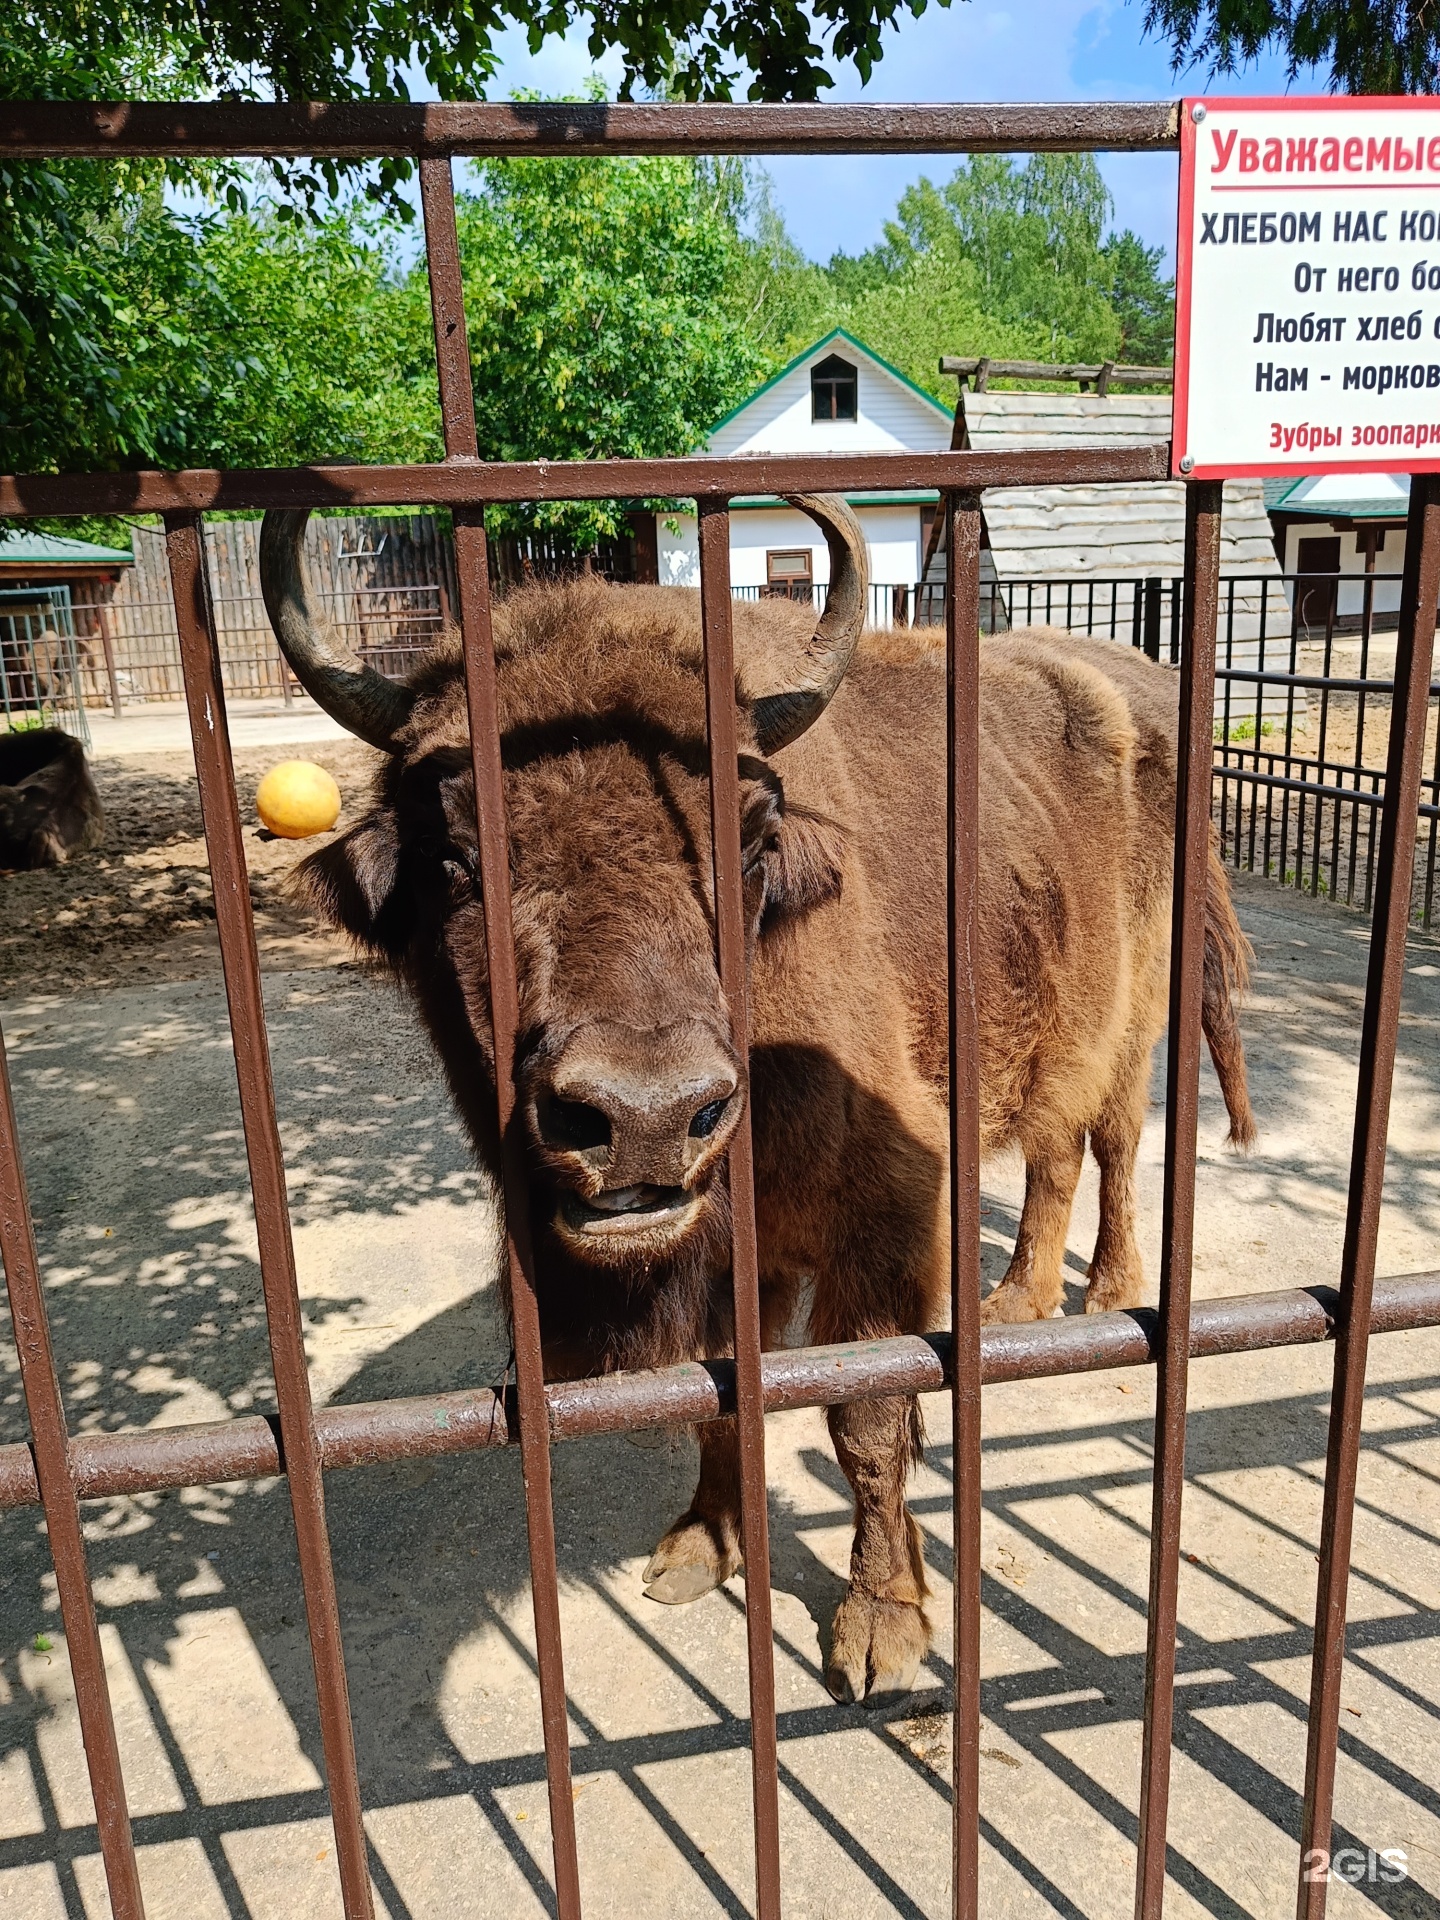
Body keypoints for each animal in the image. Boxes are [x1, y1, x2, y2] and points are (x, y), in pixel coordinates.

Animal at [264, 503, 1259, 1704]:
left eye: (747, 841)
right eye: (454, 855)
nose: (646, 1119)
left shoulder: (884, 1214)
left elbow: (864, 1417)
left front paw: (880, 1628)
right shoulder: (731, 1260)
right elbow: (718, 1398)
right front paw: (702, 1547)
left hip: (1137, 1013)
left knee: (1109, 1141)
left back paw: (1105, 1294)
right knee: (1054, 1149)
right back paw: (1018, 1304)